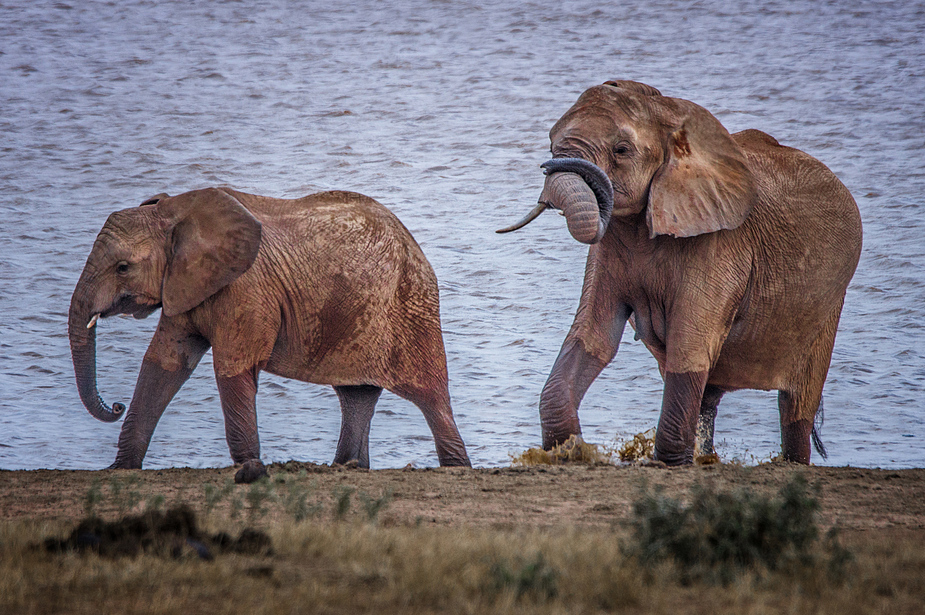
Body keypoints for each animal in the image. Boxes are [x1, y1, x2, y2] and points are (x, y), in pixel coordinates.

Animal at [68, 188, 470, 482]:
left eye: (122, 268)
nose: (115, 405)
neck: (176, 211)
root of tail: (414, 245)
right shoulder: (184, 285)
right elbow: (163, 364)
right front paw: (119, 469)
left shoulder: (246, 289)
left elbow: (232, 368)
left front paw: (249, 469)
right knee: (356, 396)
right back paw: (348, 467)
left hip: (411, 306)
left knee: (430, 394)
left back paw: (457, 468)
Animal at [502, 82, 864, 466]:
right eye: (550, 142)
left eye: (621, 150)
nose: (550, 164)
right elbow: (592, 336)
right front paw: (569, 453)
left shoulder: (720, 242)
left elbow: (689, 343)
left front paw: (665, 464)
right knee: (708, 395)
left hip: (829, 304)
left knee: (795, 406)